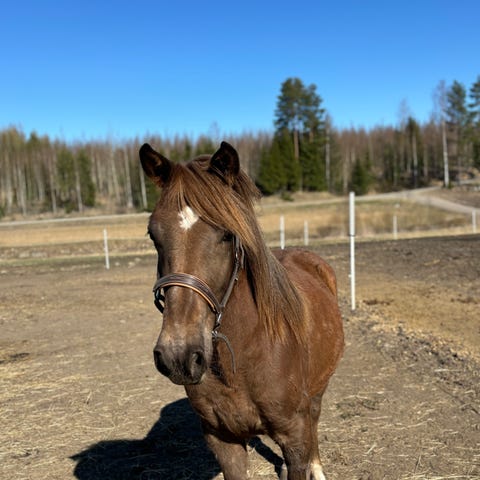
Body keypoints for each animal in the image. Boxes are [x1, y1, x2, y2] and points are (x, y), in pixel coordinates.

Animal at [139, 141, 344, 480]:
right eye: (153, 234)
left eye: (226, 234)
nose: (179, 355)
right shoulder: (224, 440)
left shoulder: (294, 437)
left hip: (318, 389)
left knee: (315, 417)